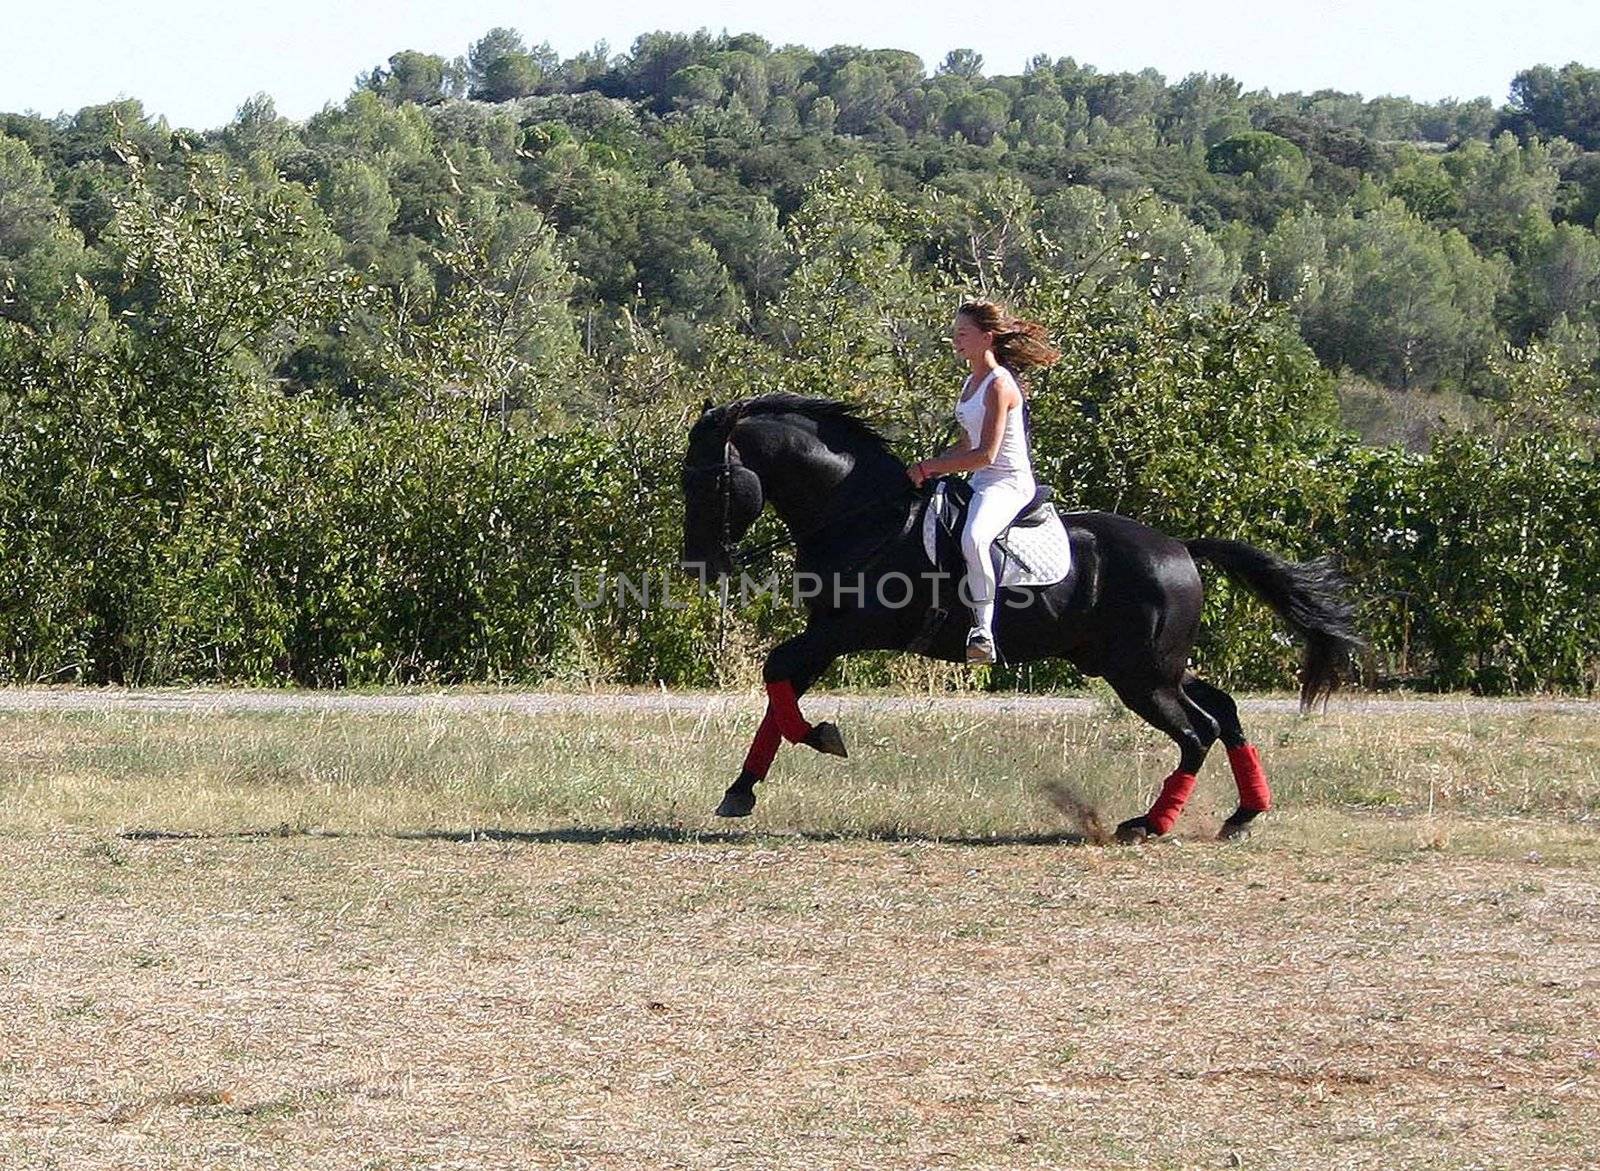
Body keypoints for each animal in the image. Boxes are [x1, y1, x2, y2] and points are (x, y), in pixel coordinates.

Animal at [678, 395, 1363, 844]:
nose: (699, 565)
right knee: (1223, 709)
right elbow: (779, 688)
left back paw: (1149, 824)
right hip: (1144, 665)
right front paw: (743, 788)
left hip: (1141, 677)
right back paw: (1244, 815)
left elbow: (780, 677)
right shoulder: (827, 634)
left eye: (709, 482)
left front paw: (819, 737)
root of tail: (1180, 548)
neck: (861, 516)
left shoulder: (848, 631)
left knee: (1198, 732)